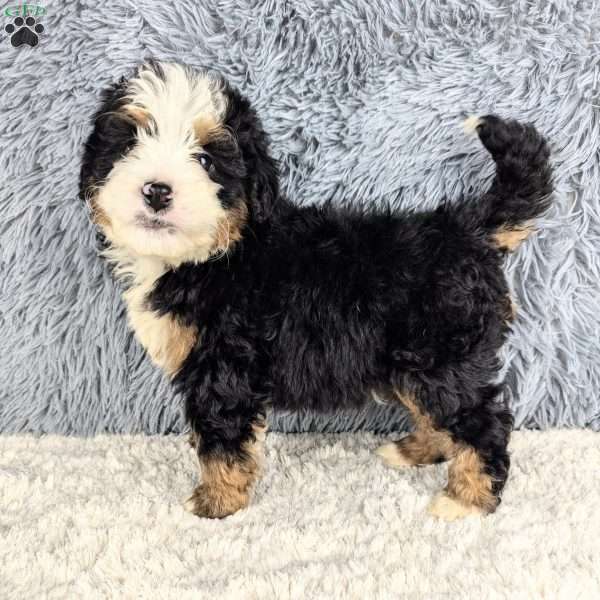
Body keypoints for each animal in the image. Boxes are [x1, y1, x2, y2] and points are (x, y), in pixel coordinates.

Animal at [79, 61, 552, 520]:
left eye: (206, 160)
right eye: (129, 145)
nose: (157, 190)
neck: (214, 252)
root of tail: (464, 228)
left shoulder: (224, 367)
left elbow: (222, 439)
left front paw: (216, 502)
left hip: (443, 358)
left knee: (482, 421)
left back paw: (466, 500)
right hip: (418, 361)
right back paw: (414, 451)